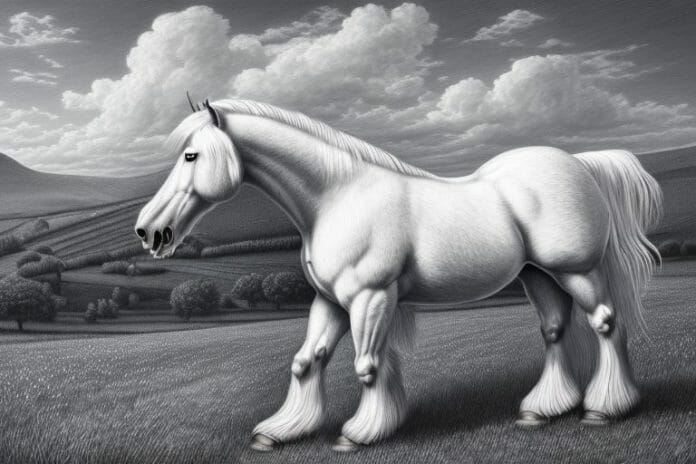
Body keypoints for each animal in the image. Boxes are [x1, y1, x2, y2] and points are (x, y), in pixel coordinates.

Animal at [134, 97, 662, 452]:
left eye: (191, 156)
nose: (149, 231)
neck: (339, 196)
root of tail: (580, 165)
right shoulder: (331, 302)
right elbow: (306, 362)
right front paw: (280, 431)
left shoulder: (370, 297)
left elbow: (366, 366)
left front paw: (359, 434)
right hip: (537, 276)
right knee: (554, 330)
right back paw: (539, 411)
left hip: (576, 271)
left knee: (606, 323)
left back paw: (602, 409)